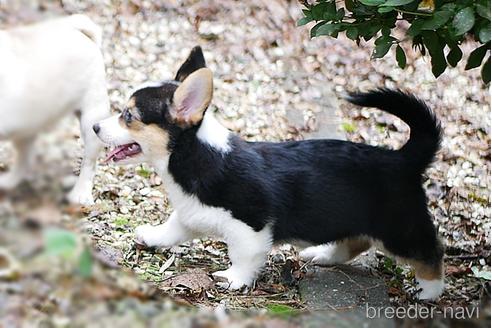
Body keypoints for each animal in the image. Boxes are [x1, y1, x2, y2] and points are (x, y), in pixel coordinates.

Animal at [0, 16, 108, 205]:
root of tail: (75, 29)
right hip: (26, 127)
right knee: (25, 158)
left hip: (92, 120)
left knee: (89, 163)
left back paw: (80, 193)